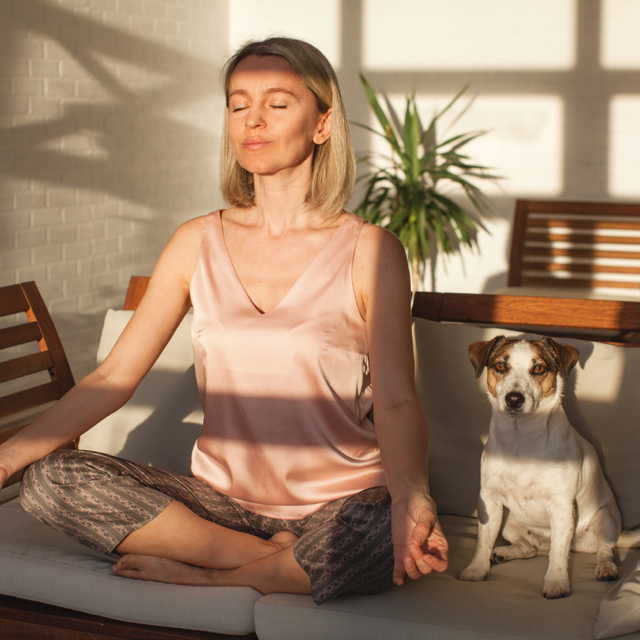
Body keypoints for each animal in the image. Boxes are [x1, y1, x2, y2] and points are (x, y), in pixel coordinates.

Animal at [458, 338, 636, 596]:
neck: (521, 437)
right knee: (530, 548)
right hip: (510, 524)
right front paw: (476, 570)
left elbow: (558, 555)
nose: (514, 399)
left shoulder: (561, 504)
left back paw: (606, 568)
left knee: (603, 549)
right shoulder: (489, 500)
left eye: (539, 368)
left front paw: (556, 583)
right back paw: (503, 553)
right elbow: (483, 540)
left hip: (606, 519)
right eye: (500, 366)